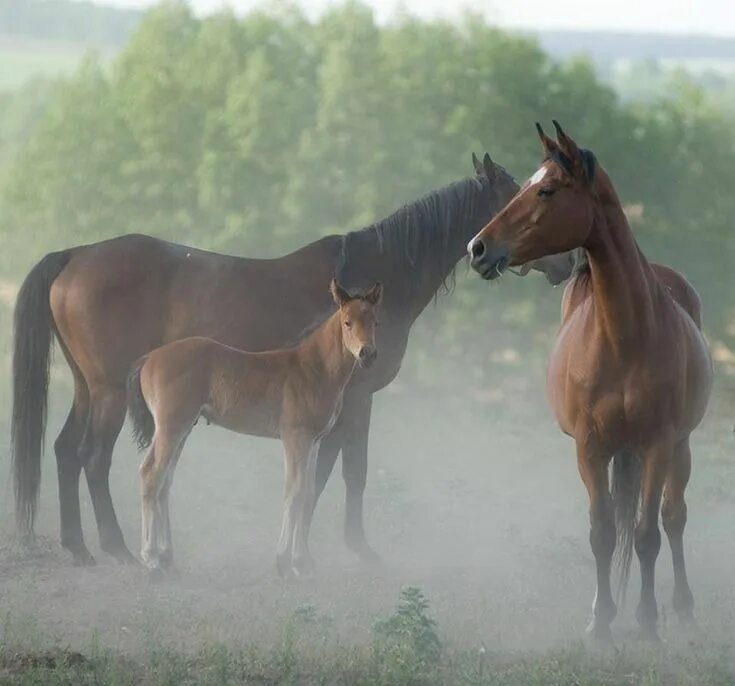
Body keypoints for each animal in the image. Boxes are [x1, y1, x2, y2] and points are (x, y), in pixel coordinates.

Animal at [126, 282, 382, 576]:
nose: (368, 354)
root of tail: (149, 358)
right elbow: (293, 492)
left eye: (375, 321)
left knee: (165, 482)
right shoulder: (295, 438)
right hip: (170, 428)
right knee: (150, 475)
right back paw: (151, 558)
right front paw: (284, 562)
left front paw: (302, 561)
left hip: (182, 430)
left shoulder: (314, 441)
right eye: (347, 322)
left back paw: (166, 555)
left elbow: (308, 493)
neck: (312, 369)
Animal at [468, 121, 716, 644]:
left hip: (680, 445)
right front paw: (600, 621)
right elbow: (602, 533)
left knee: (674, 517)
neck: (624, 335)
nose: (476, 249)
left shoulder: (656, 445)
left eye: (546, 190)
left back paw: (683, 608)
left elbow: (647, 535)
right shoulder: (590, 448)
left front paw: (647, 623)